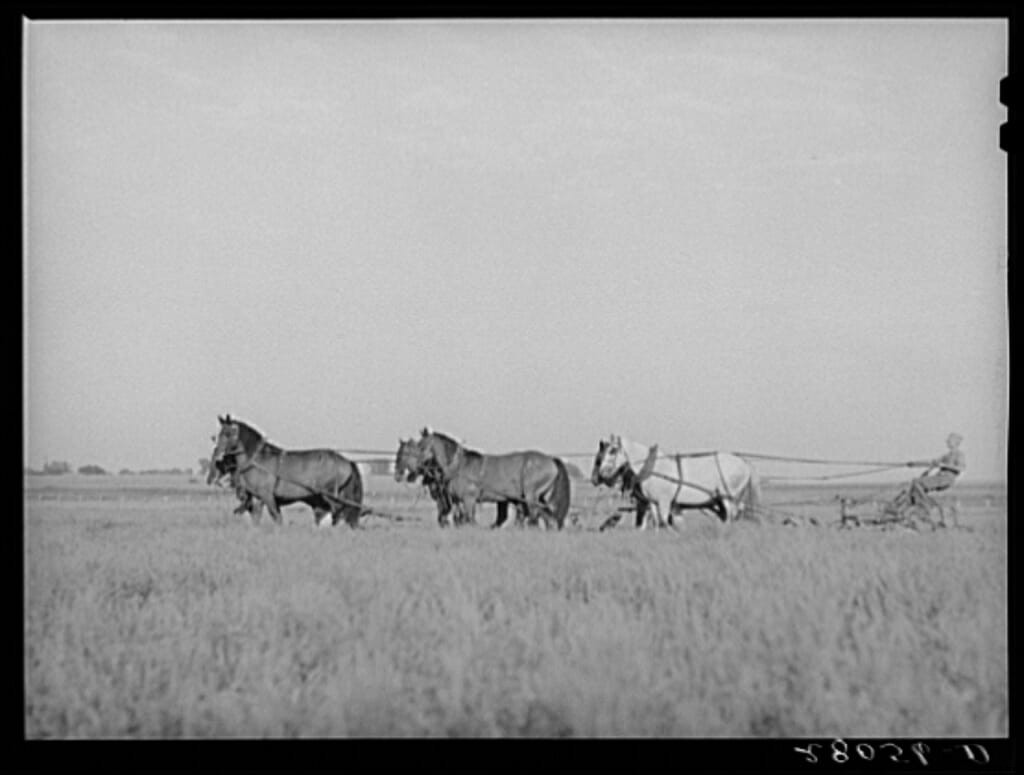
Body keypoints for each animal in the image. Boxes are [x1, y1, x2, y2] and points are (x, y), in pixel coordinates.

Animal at [210, 414, 364, 527]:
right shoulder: (259, 498)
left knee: (338, 511)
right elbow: (257, 518)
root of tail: (346, 461)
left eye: (228, 433)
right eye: (219, 433)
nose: (217, 453)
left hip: (329, 494)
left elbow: (277, 518)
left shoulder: (267, 496)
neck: (258, 460)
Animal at [415, 428, 571, 529]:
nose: (416, 467)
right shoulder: (458, 500)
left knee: (535, 516)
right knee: (548, 517)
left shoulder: (468, 499)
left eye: (422, 446)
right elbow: (461, 519)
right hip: (538, 497)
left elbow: (469, 519)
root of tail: (551, 459)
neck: (459, 466)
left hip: (531, 496)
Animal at [592, 434, 761, 530]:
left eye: (613, 450)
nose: (596, 477)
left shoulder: (664, 501)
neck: (653, 468)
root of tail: (744, 463)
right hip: (720, 500)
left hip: (728, 497)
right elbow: (655, 523)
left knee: (730, 517)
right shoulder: (652, 502)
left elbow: (664, 522)